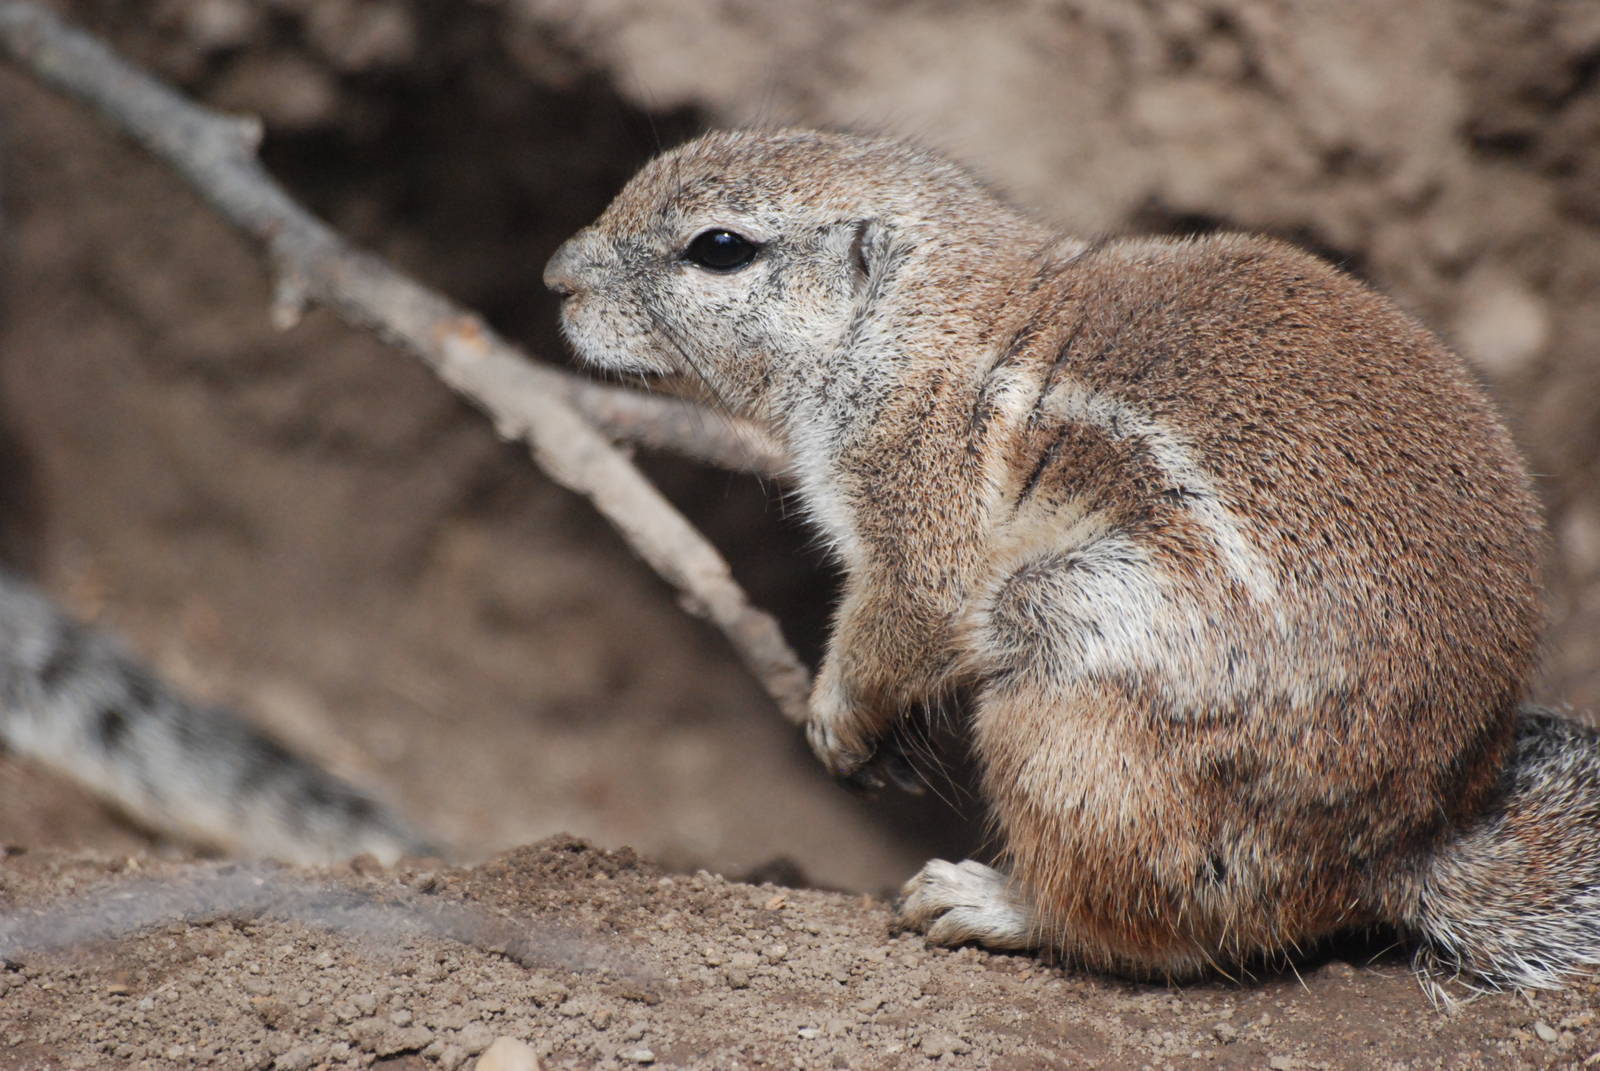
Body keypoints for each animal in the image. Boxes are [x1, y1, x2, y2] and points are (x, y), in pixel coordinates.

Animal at [544, 127, 1600, 991]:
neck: (911, 324)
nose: (554, 277)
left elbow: (904, 615)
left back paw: (993, 901)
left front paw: (836, 718)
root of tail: (1406, 847)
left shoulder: (917, 497)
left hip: (1060, 659)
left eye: (718, 247)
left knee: (1153, 934)